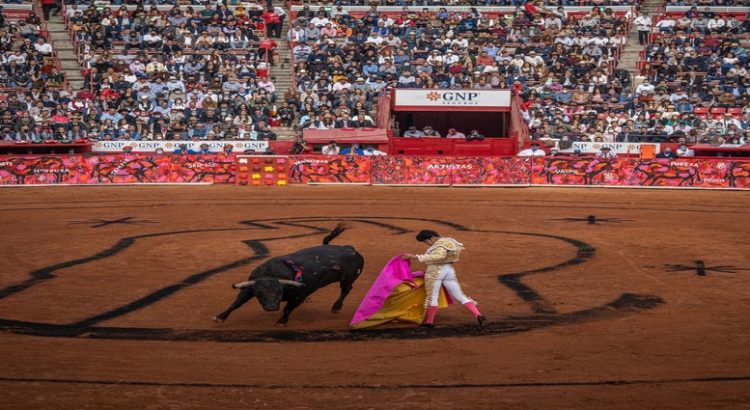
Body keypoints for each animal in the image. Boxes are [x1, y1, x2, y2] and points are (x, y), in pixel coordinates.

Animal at [213, 223, 366, 326]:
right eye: (260, 294)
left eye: (279, 292)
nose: (271, 308)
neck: (274, 273)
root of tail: (351, 249)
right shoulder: (250, 288)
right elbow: (236, 303)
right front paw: (220, 317)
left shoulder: (298, 296)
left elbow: (287, 309)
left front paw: (281, 321)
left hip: (348, 278)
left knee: (346, 290)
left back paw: (336, 307)